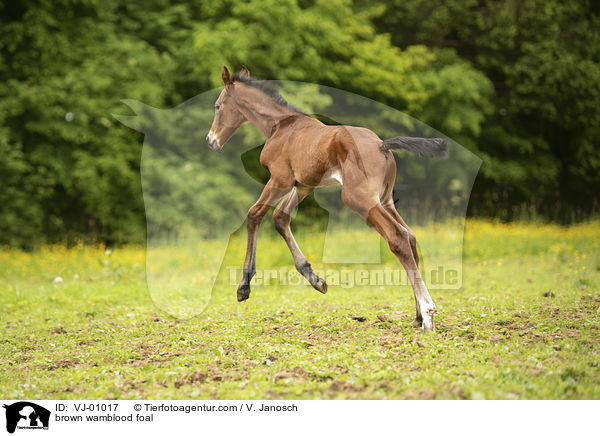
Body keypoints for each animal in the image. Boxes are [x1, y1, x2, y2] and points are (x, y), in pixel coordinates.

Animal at [206, 66, 446, 328]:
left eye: (217, 106)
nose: (211, 140)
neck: (280, 125)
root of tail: (382, 145)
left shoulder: (280, 179)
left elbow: (254, 214)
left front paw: (244, 287)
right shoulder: (303, 185)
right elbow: (280, 217)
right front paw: (316, 280)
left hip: (359, 199)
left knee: (397, 237)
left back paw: (428, 313)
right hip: (384, 200)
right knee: (409, 235)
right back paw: (417, 316)